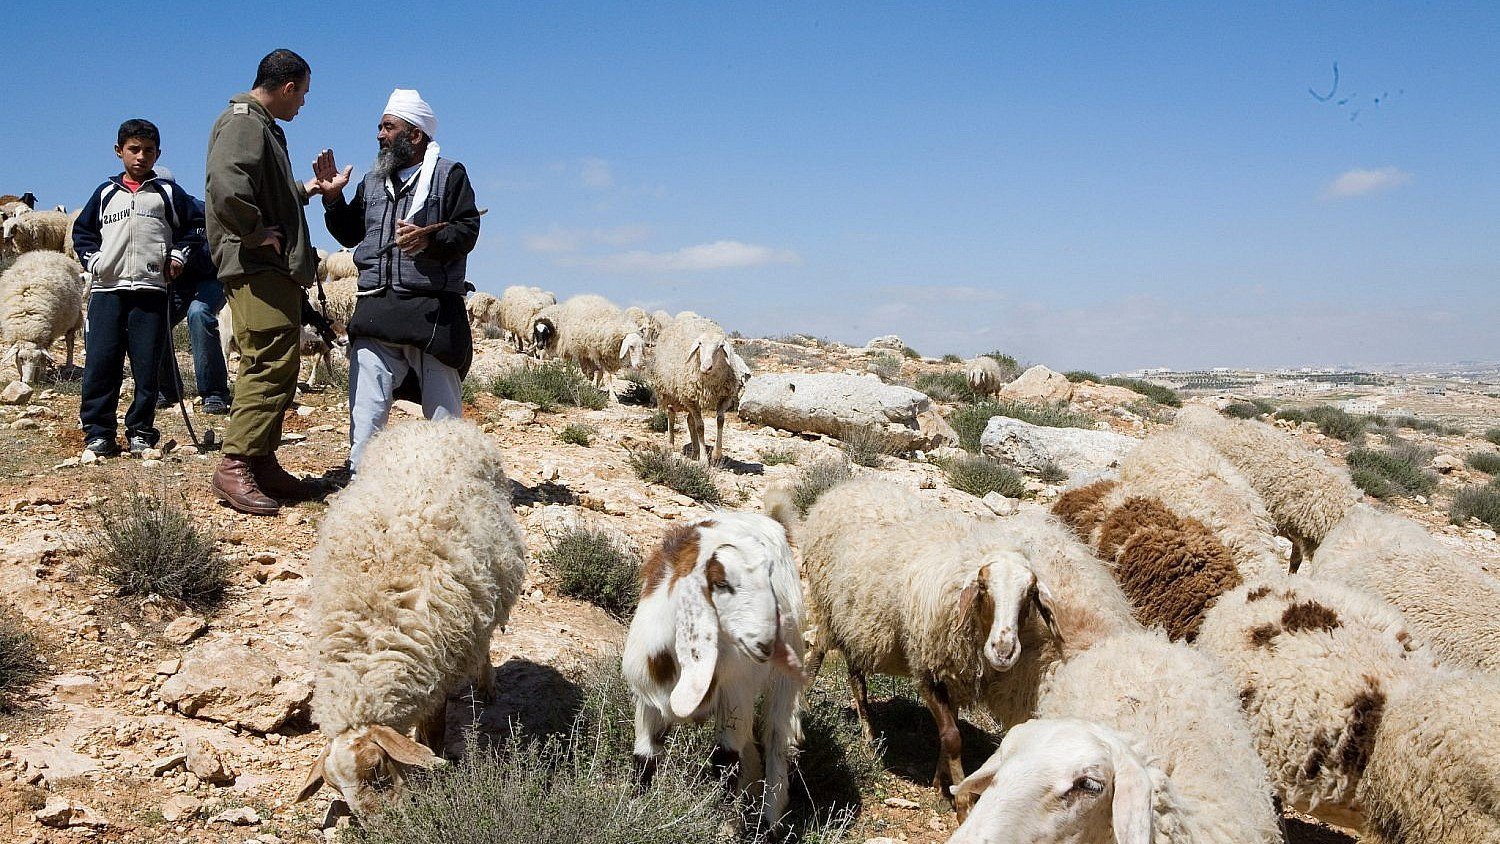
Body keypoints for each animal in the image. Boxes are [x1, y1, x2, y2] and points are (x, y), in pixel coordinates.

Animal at [0, 251, 85, 383]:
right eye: (21, 358)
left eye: (36, 359)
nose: (28, 382)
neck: (27, 326)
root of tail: (48, 252)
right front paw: (21, 378)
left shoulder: (47, 336)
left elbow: (44, 359)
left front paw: (41, 377)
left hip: (72, 319)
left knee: (70, 342)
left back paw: (68, 366)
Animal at [296, 418, 528, 817]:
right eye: (336, 788)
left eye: (377, 767)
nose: (383, 825)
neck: (371, 633)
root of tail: (435, 425)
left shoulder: (439, 666)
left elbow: (433, 734)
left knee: (484, 645)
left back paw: (487, 686)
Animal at [621, 511, 805, 828]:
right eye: (721, 583)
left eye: (768, 578)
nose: (766, 643)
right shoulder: (648, 701)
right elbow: (645, 758)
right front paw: (634, 812)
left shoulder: (735, 694)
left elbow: (726, 760)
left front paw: (719, 824)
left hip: (783, 679)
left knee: (776, 740)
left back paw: (767, 822)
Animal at [649, 310, 751, 464]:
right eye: (700, 344)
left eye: (721, 346)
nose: (706, 367)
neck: (709, 382)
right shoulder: (689, 399)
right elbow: (700, 427)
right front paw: (704, 459)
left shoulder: (724, 397)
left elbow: (720, 421)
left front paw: (716, 455)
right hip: (669, 394)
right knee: (671, 416)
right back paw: (671, 445)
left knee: (689, 420)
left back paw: (695, 449)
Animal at [772, 476, 1061, 815]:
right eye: (983, 587)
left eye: (1030, 593)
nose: (1003, 650)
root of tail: (846, 487)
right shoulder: (927, 669)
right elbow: (952, 737)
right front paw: (961, 802)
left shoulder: (954, 674)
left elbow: (951, 731)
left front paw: (940, 782)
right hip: (829, 607)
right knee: (817, 655)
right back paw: (813, 708)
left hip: (857, 621)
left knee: (856, 678)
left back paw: (869, 737)